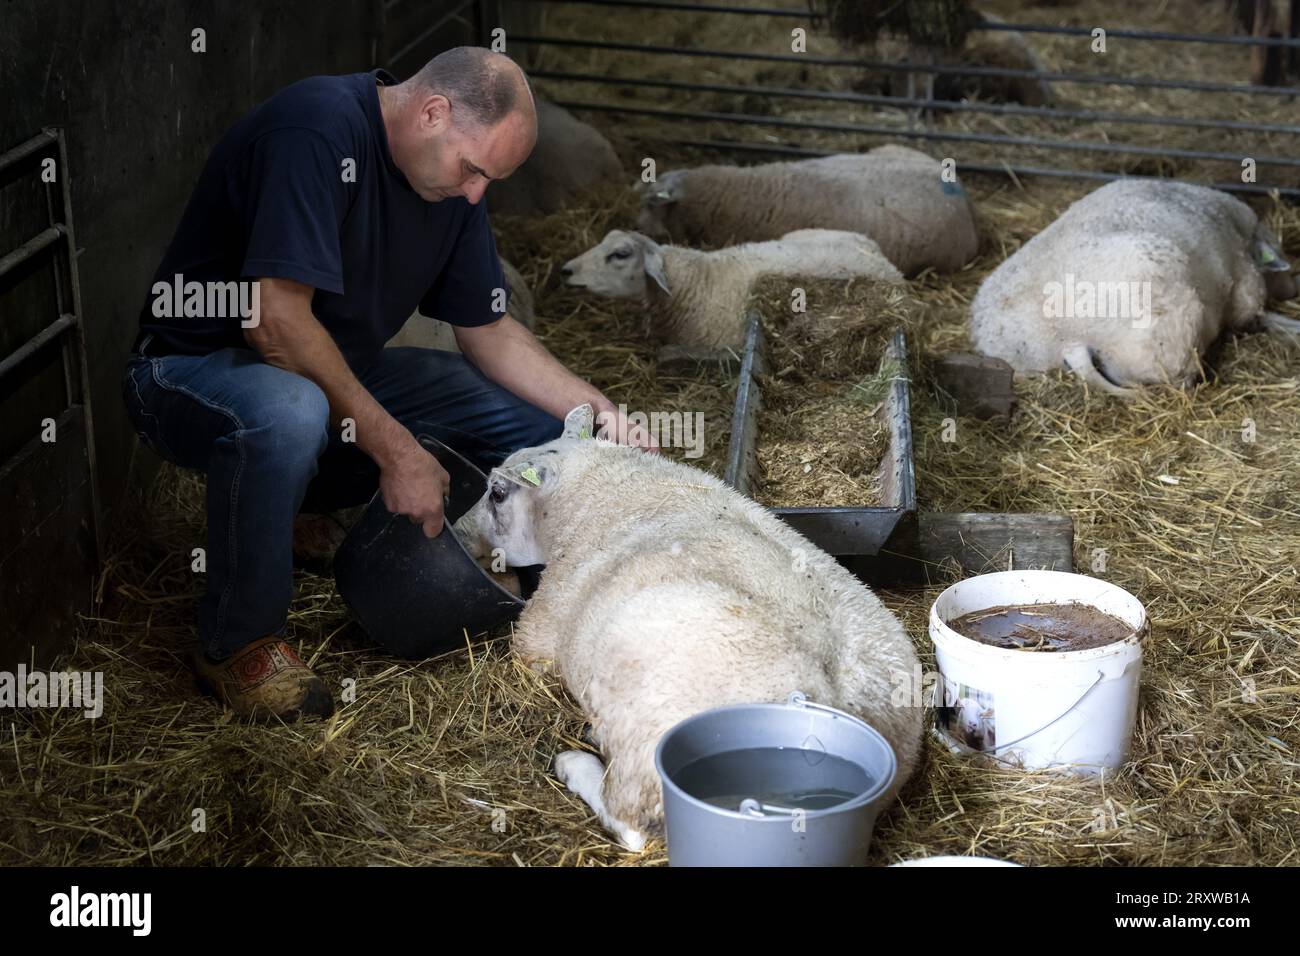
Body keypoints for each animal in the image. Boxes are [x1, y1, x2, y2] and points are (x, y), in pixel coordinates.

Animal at [452, 403, 920, 853]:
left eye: (497, 493)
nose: (456, 530)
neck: (593, 491)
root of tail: (837, 704)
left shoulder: (539, 633)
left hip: (644, 736)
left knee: (630, 827)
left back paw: (574, 763)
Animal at [972, 179, 1294, 395]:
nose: (1294, 288)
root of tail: (1067, 337)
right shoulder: (1244, 287)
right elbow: (1256, 316)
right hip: (1173, 342)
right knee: (1180, 379)